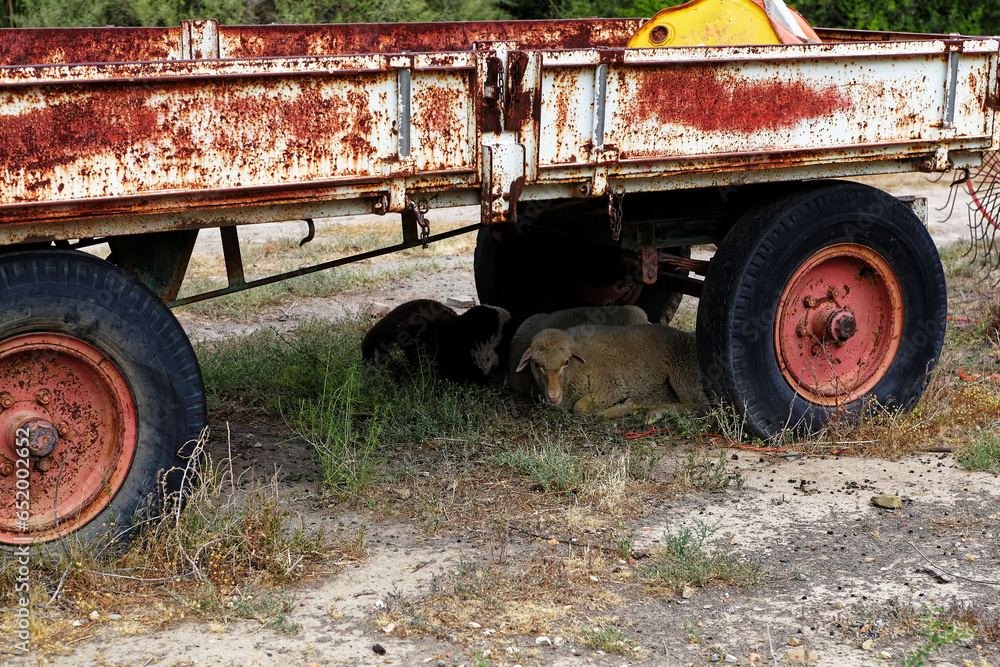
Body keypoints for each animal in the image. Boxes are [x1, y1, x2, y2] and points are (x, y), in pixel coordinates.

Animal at [515, 323, 710, 420]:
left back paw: (657, 412)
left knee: (699, 406)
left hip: (683, 371)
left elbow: (579, 408)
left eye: (566, 362)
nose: (554, 397)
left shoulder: (612, 385)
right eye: (536, 364)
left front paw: (626, 407)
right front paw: (626, 407)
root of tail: (691, 335)